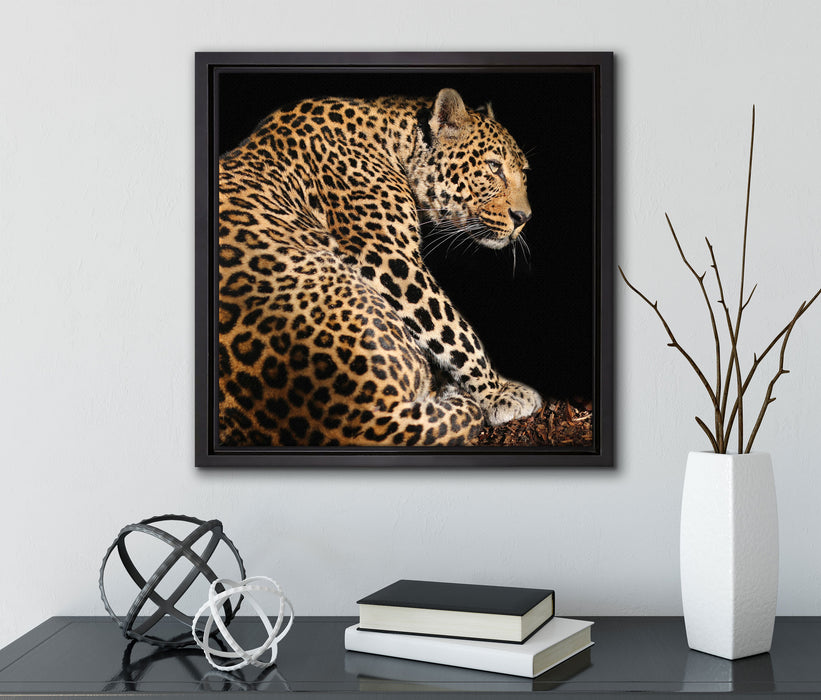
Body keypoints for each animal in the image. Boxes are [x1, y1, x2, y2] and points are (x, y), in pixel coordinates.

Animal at [218, 87, 542, 447]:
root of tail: (355, 420)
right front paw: (499, 393)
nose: (524, 218)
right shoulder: (388, 256)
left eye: (524, 173)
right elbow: (452, 329)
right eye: (493, 167)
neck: (393, 139)